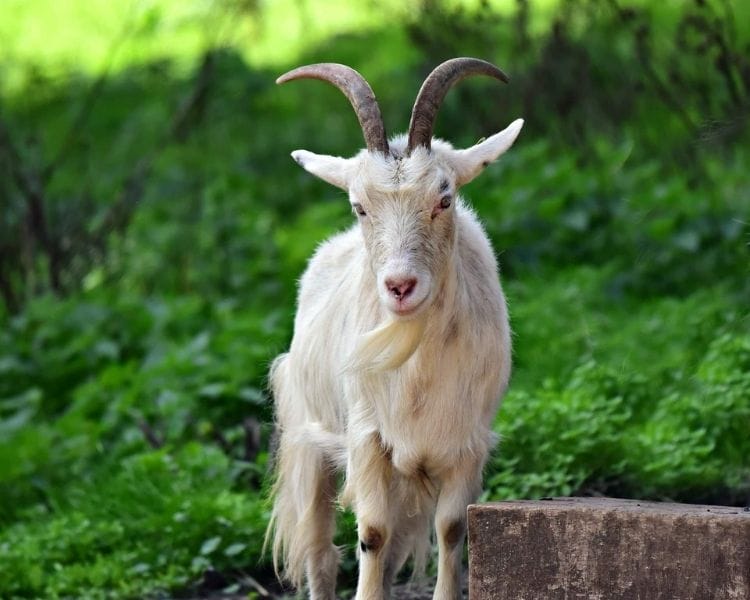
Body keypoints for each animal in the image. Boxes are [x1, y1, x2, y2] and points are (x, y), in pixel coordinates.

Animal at [266, 58, 523, 600]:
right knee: (320, 550)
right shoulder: (367, 439)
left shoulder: (467, 443)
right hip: (310, 437)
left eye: (444, 198)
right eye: (359, 206)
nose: (400, 286)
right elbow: (372, 532)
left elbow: (451, 528)